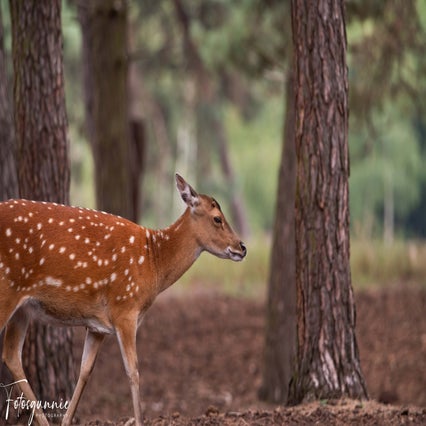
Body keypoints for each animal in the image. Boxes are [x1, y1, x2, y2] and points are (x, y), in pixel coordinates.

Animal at [0, 175, 246, 424]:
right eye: (217, 218)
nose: (242, 247)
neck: (153, 262)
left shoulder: (96, 325)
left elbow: (85, 371)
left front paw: (67, 421)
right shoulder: (125, 307)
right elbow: (133, 371)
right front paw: (139, 420)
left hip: (22, 309)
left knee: (11, 356)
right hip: (6, 290)